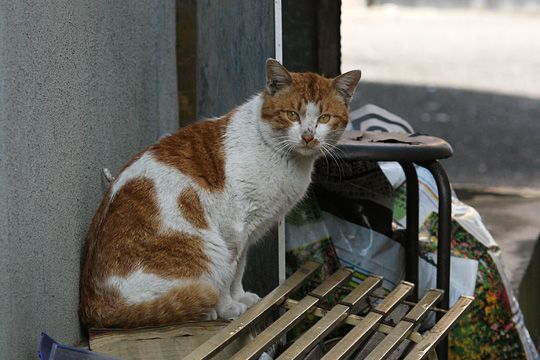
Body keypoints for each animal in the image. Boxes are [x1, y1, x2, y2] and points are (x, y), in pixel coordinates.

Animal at [79, 59, 358, 330]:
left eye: (324, 118)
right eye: (292, 115)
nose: (308, 136)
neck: (286, 159)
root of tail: (92, 308)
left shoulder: (248, 232)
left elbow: (239, 271)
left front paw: (241, 297)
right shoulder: (232, 232)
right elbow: (227, 276)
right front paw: (229, 307)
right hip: (208, 248)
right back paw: (206, 310)